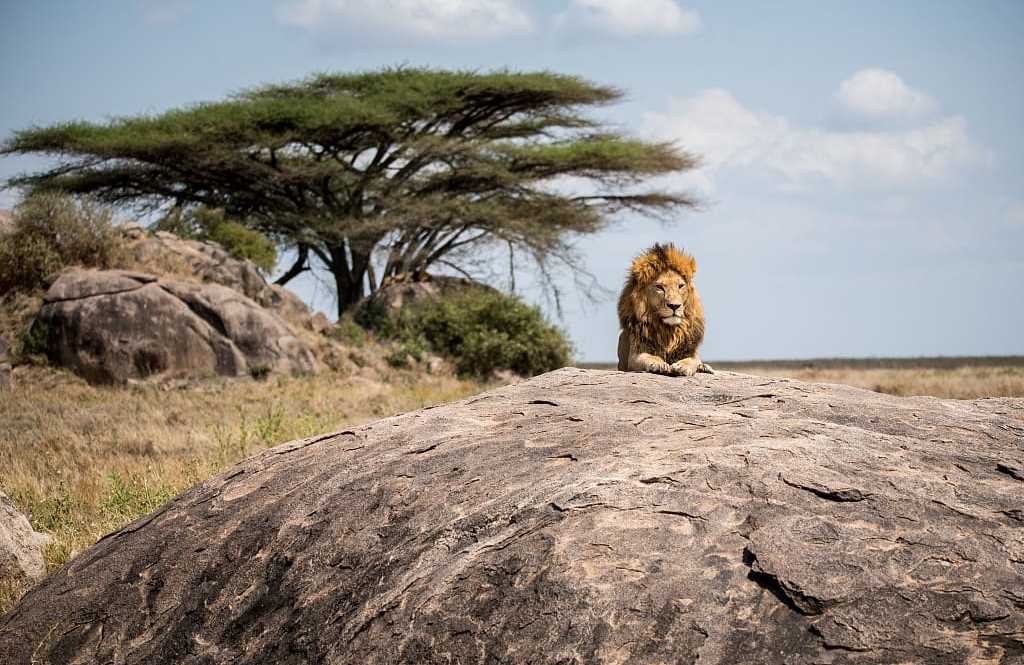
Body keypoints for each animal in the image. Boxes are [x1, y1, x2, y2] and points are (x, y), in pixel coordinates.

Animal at [616, 243, 713, 377]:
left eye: (681, 286)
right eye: (659, 287)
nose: (674, 306)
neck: (668, 330)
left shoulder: (690, 351)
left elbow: (692, 360)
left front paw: (683, 366)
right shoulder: (635, 355)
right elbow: (649, 357)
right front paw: (658, 364)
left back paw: (705, 367)